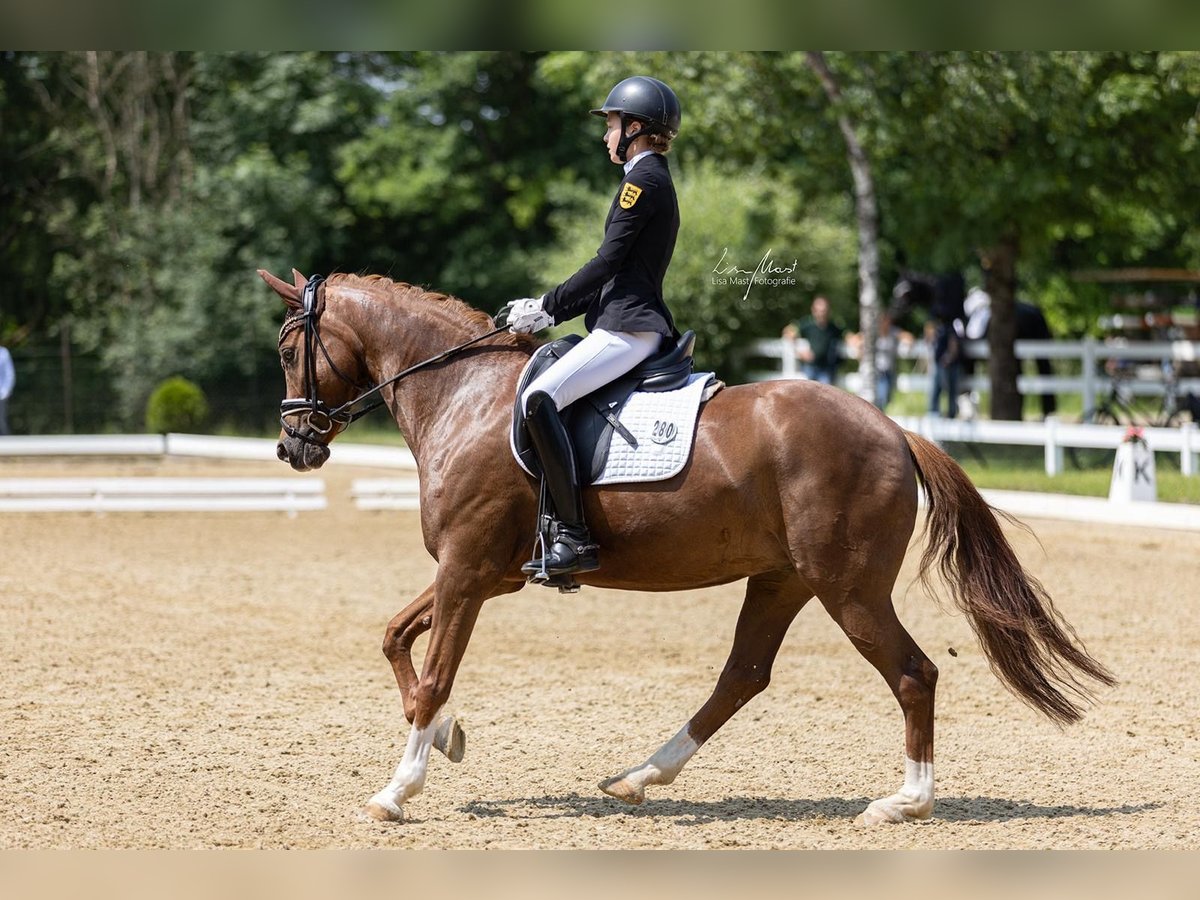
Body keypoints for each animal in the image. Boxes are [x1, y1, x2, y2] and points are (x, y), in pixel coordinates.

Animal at [259, 268, 1115, 825]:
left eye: (287, 348)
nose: (293, 448)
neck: (464, 399)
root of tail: (893, 429)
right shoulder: (484, 574)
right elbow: (396, 640)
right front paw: (447, 738)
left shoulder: (467, 570)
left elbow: (433, 674)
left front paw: (397, 790)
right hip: (783, 579)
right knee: (744, 675)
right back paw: (640, 776)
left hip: (849, 588)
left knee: (912, 673)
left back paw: (905, 802)